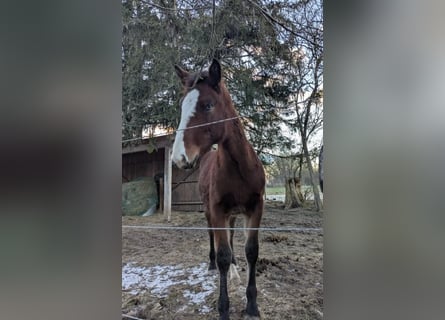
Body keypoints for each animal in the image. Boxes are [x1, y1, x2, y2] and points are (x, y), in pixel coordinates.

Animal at [172, 60, 264, 320]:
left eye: (208, 105)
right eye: (182, 106)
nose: (179, 157)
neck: (240, 168)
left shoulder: (255, 207)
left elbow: (251, 251)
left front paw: (252, 306)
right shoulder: (217, 209)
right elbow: (222, 253)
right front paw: (223, 309)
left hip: (233, 214)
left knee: (231, 236)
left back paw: (234, 267)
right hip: (210, 211)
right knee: (212, 235)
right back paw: (212, 264)